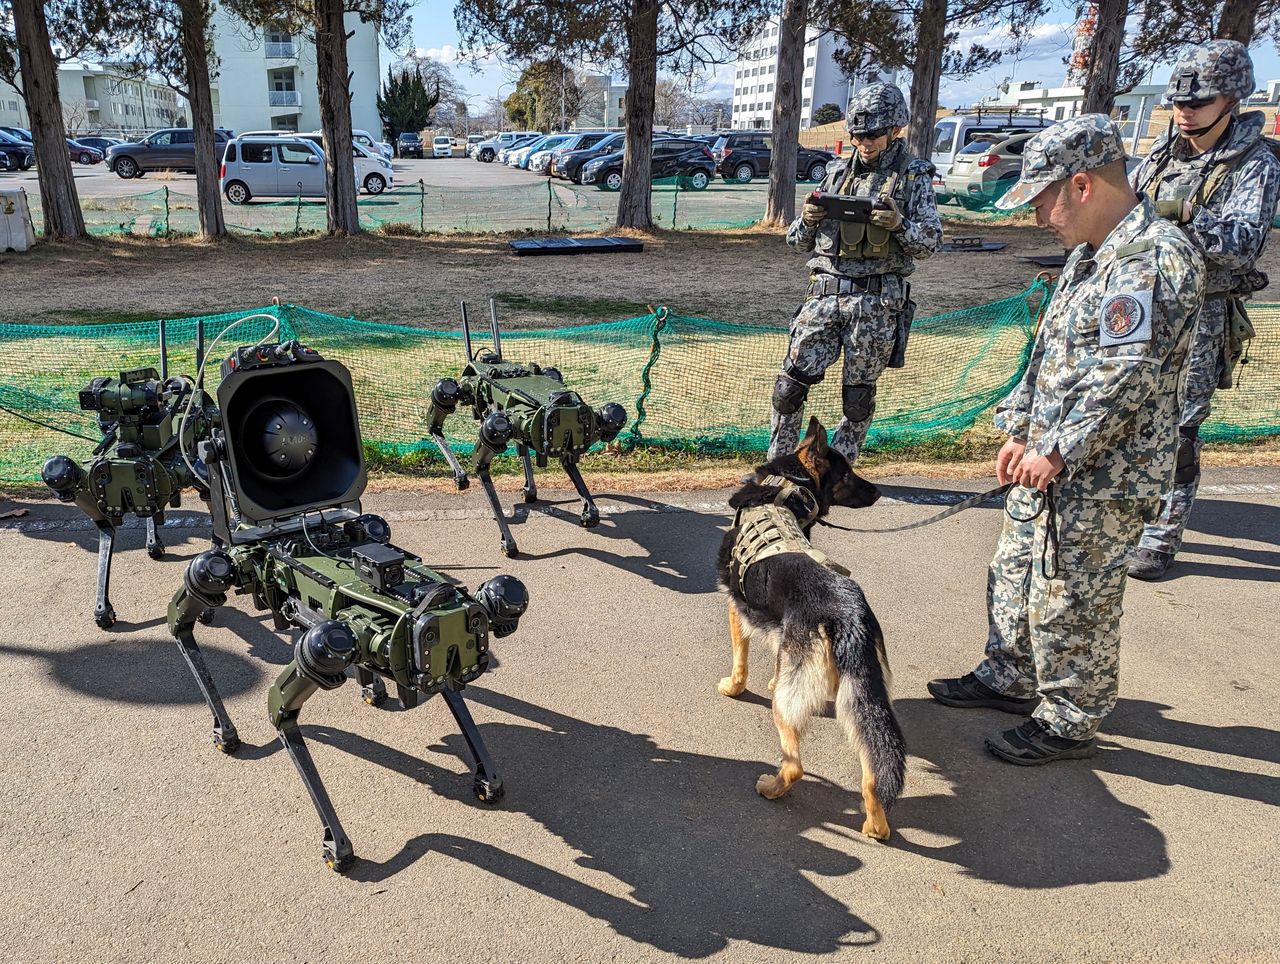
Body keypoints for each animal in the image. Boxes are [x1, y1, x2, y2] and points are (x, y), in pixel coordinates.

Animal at [167, 337, 527, 870]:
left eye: (464, 633)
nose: (448, 615)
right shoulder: (330, 638)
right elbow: (280, 706)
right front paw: (336, 843)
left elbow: (451, 695)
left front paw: (487, 776)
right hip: (227, 568)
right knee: (192, 601)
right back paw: (225, 727)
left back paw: (369, 688)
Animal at [424, 300, 629, 555]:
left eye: (578, 426)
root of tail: (484, 358)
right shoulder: (498, 426)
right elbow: (481, 467)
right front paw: (508, 541)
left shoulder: (573, 437)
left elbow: (567, 464)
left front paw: (589, 511)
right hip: (459, 396)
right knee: (439, 412)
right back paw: (460, 476)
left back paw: (529, 489)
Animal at [716, 417, 906, 839]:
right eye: (848, 473)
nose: (879, 491)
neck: (783, 488)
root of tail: (849, 615)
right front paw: (770, 678)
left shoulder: (736, 609)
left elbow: (740, 661)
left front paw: (733, 688)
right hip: (860, 701)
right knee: (872, 771)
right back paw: (876, 826)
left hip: (787, 711)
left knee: (795, 766)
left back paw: (772, 787)